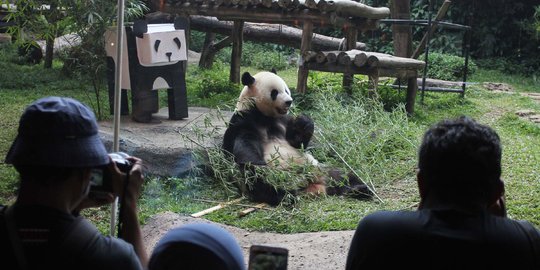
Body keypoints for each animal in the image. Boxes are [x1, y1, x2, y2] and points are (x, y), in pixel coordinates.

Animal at [221, 70, 374, 206]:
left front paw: (302, 122)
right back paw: (285, 195)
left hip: (319, 169)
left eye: (286, 90)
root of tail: (311, 185)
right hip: (280, 177)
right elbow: (246, 150)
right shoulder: (243, 121)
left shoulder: (283, 121)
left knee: (342, 176)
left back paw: (361, 189)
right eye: (275, 92)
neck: (263, 115)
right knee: (264, 182)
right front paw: (256, 163)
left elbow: (297, 142)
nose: (289, 102)